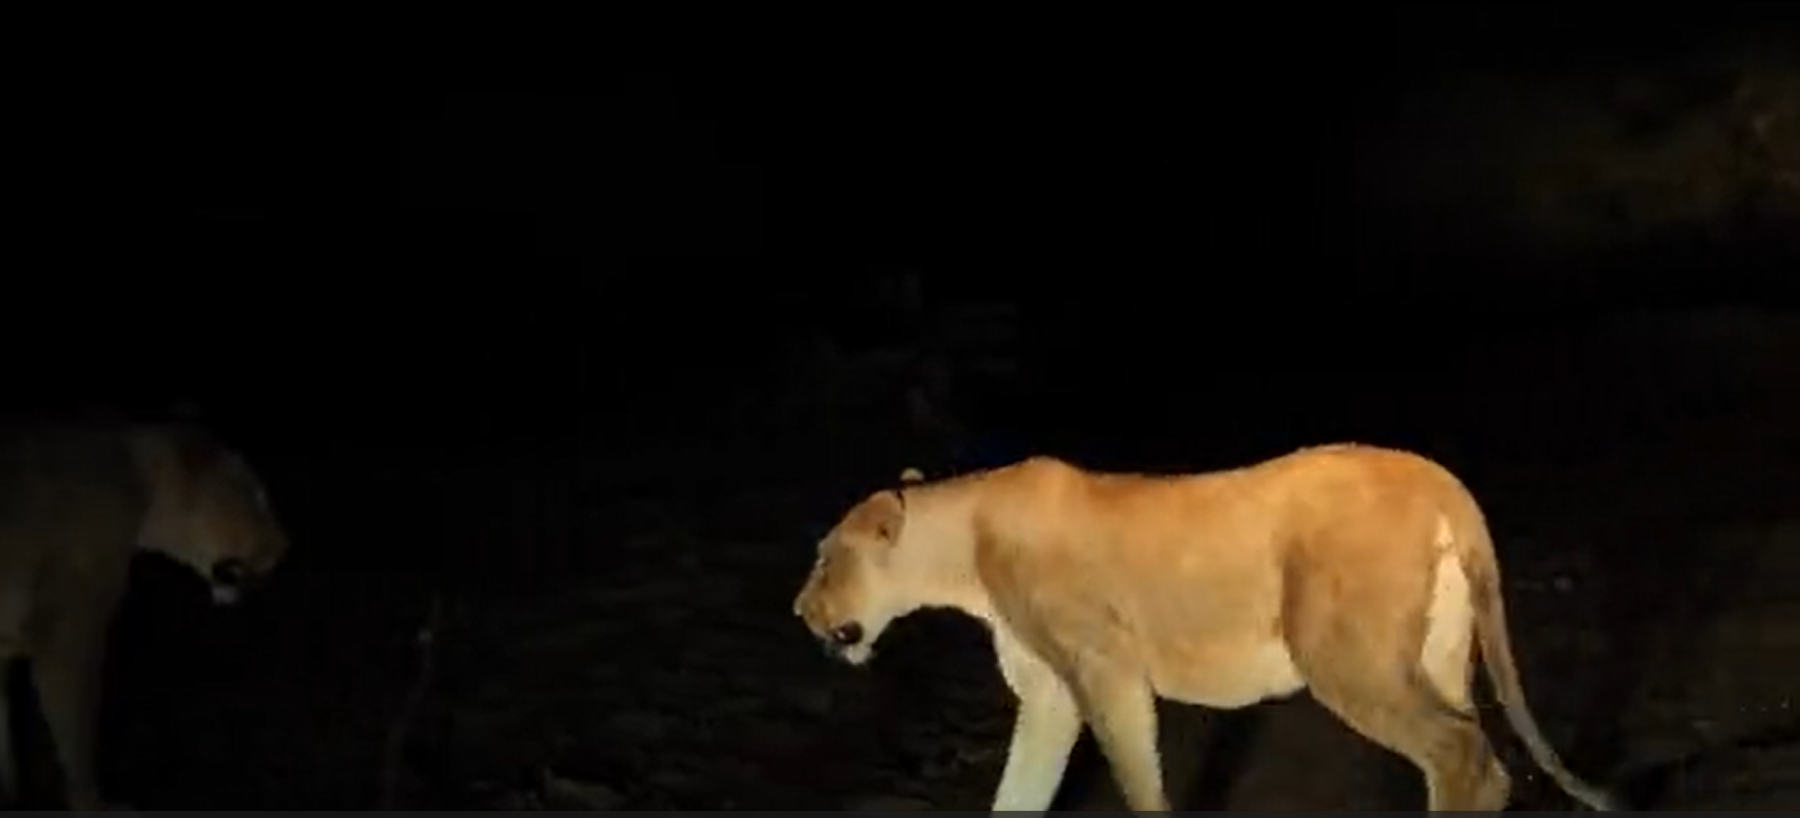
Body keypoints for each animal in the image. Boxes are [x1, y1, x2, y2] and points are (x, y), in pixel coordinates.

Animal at [0, 421, 290, 811]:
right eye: (256, 494)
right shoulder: (67, 635)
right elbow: (77, 737)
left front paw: (8, 790)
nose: (286, 546)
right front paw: (95, 807)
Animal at [792, 445, 1620, 812]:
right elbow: (1021, 790)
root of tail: (1438, 477)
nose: (800, 611)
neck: (962, 551)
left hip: (1341, 655)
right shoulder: (1052, 696)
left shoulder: (1105, 671)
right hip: (1440, 652)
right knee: (1479, 755)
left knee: (1461, 753)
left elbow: (1138, 782)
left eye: (827, 558)